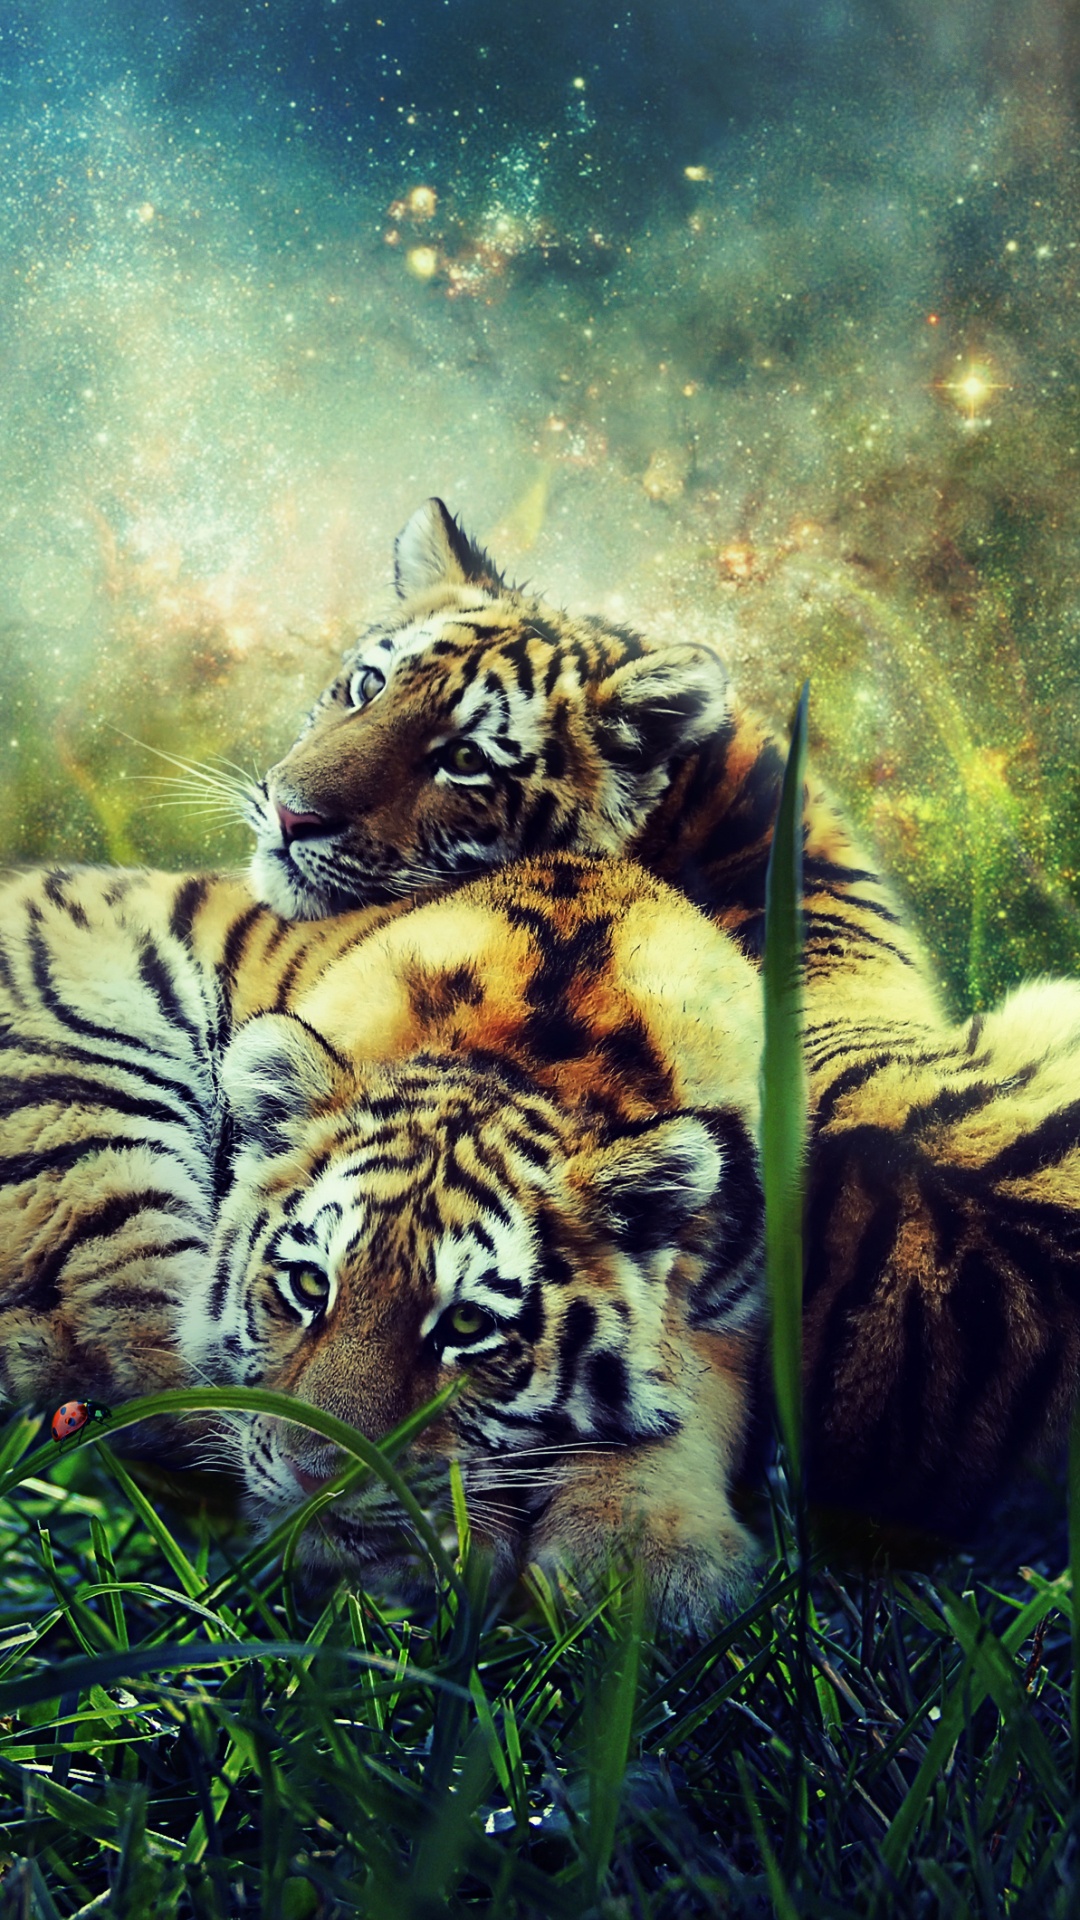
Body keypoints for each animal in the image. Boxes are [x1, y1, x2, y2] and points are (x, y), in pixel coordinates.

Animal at [0, 853, 766, 1621]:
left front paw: (648, 1571)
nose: (316, 1482)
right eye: (310, 1283)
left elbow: (691, 1405)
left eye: (466, 1324)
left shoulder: (740, 1311)